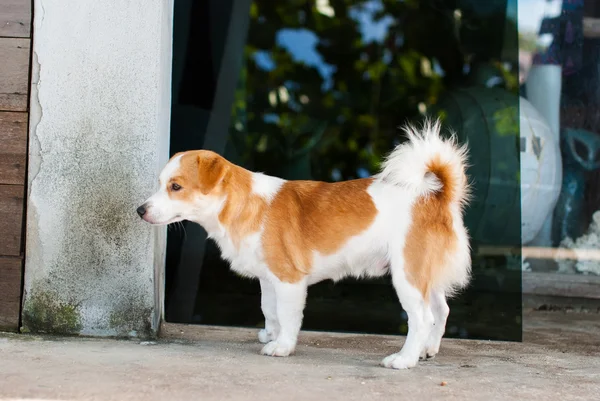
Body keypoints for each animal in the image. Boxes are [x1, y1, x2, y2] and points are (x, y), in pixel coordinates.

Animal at [138, 119, 472, 368]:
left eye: (176, 187)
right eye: (160, 184)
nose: (140, 210)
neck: (244, 205)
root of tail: (437, 195)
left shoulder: (289, 281)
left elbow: (288, 316)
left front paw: (282, 346)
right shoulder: (268, 279)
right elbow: (269, 310)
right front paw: (271, 335)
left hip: (407, 275)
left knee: (422, 318)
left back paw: (405, 359)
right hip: (425, 275)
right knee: (441, 311)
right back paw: (427, 350)